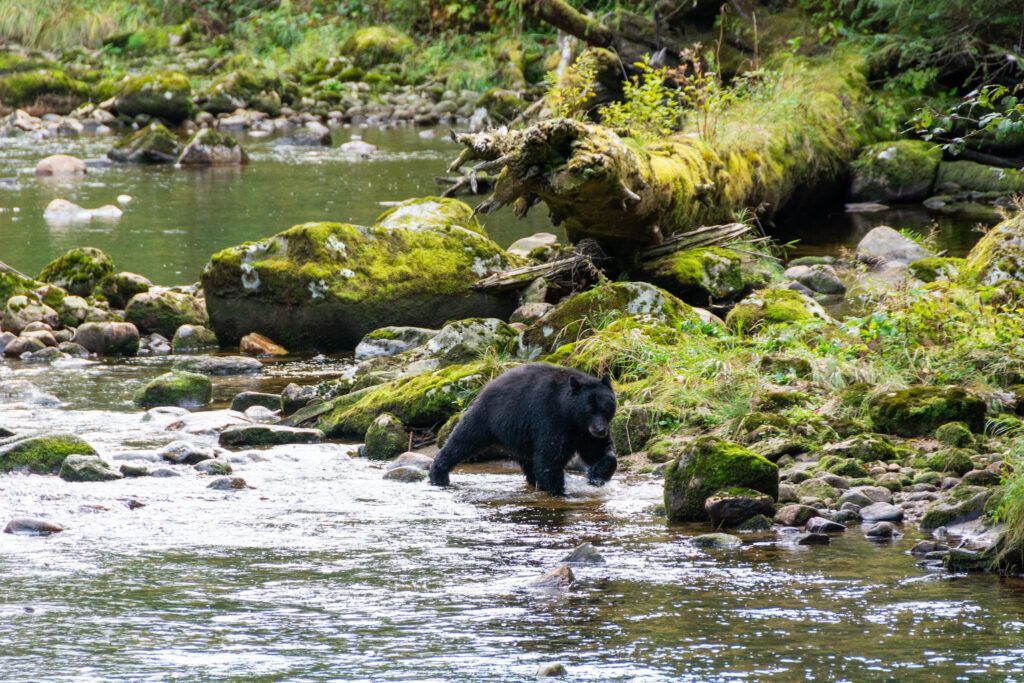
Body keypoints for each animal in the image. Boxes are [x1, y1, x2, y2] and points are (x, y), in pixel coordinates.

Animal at [428, 363, 618, 496]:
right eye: (589, 410)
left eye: (606, 408)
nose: (600, 431)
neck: (570, 416)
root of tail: (487, 385)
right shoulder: (551, 419)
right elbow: (549, 458)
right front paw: (558, 492)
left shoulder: (584, 432)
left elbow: (599, 451)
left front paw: (597, 474)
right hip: (487, 417)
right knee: (462, 440)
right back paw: (439, 475)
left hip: (521, 436)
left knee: (528, 461)